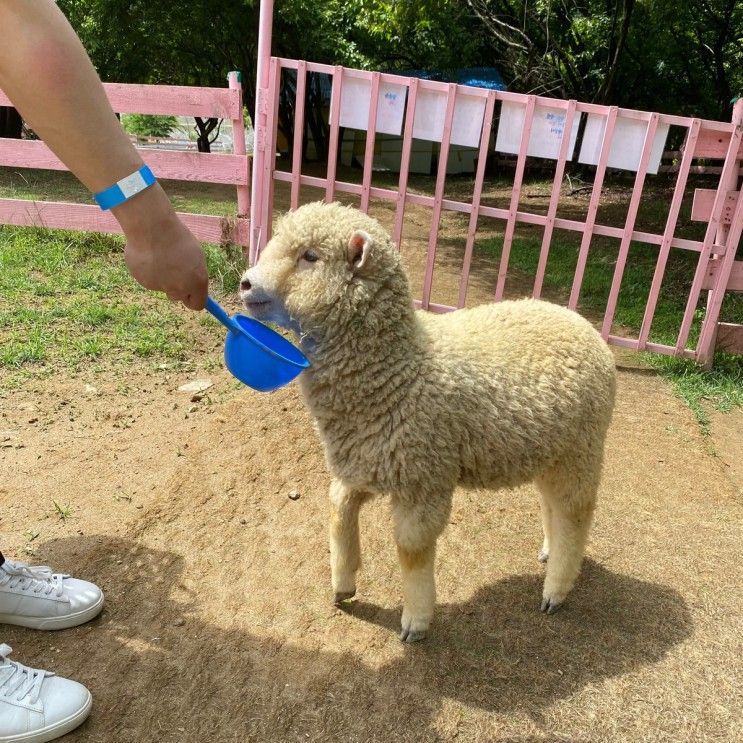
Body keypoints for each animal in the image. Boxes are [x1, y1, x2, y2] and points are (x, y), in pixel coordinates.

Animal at [238, 201, 616, 644]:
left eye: (310, 257)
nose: (246, 282)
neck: (399, 368)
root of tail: (582, 323)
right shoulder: (364, 463)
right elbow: (338, 510)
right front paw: (342, 583)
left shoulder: (422, 480)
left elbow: (412, 551)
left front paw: (416, 620)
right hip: (548, 450)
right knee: (551, 503)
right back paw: (549, 549)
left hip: (581, 448)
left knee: (575, 512)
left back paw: (556, 588)